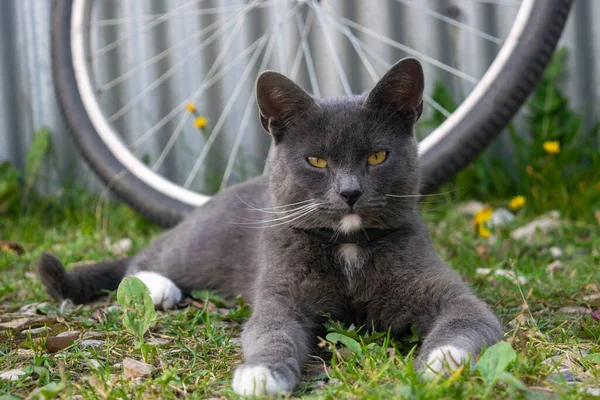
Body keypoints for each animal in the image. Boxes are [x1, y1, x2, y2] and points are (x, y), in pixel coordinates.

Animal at [37, 58, 504, 396]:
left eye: (377, 156)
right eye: (316, 160)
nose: (350, 192)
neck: (348, 247)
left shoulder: (442, 286)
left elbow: (470, 318)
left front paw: (443, 362)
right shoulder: (281, 293)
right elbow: (270, 331)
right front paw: (260, 375)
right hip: (198, 242)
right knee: (145, 257)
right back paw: (157, 287)